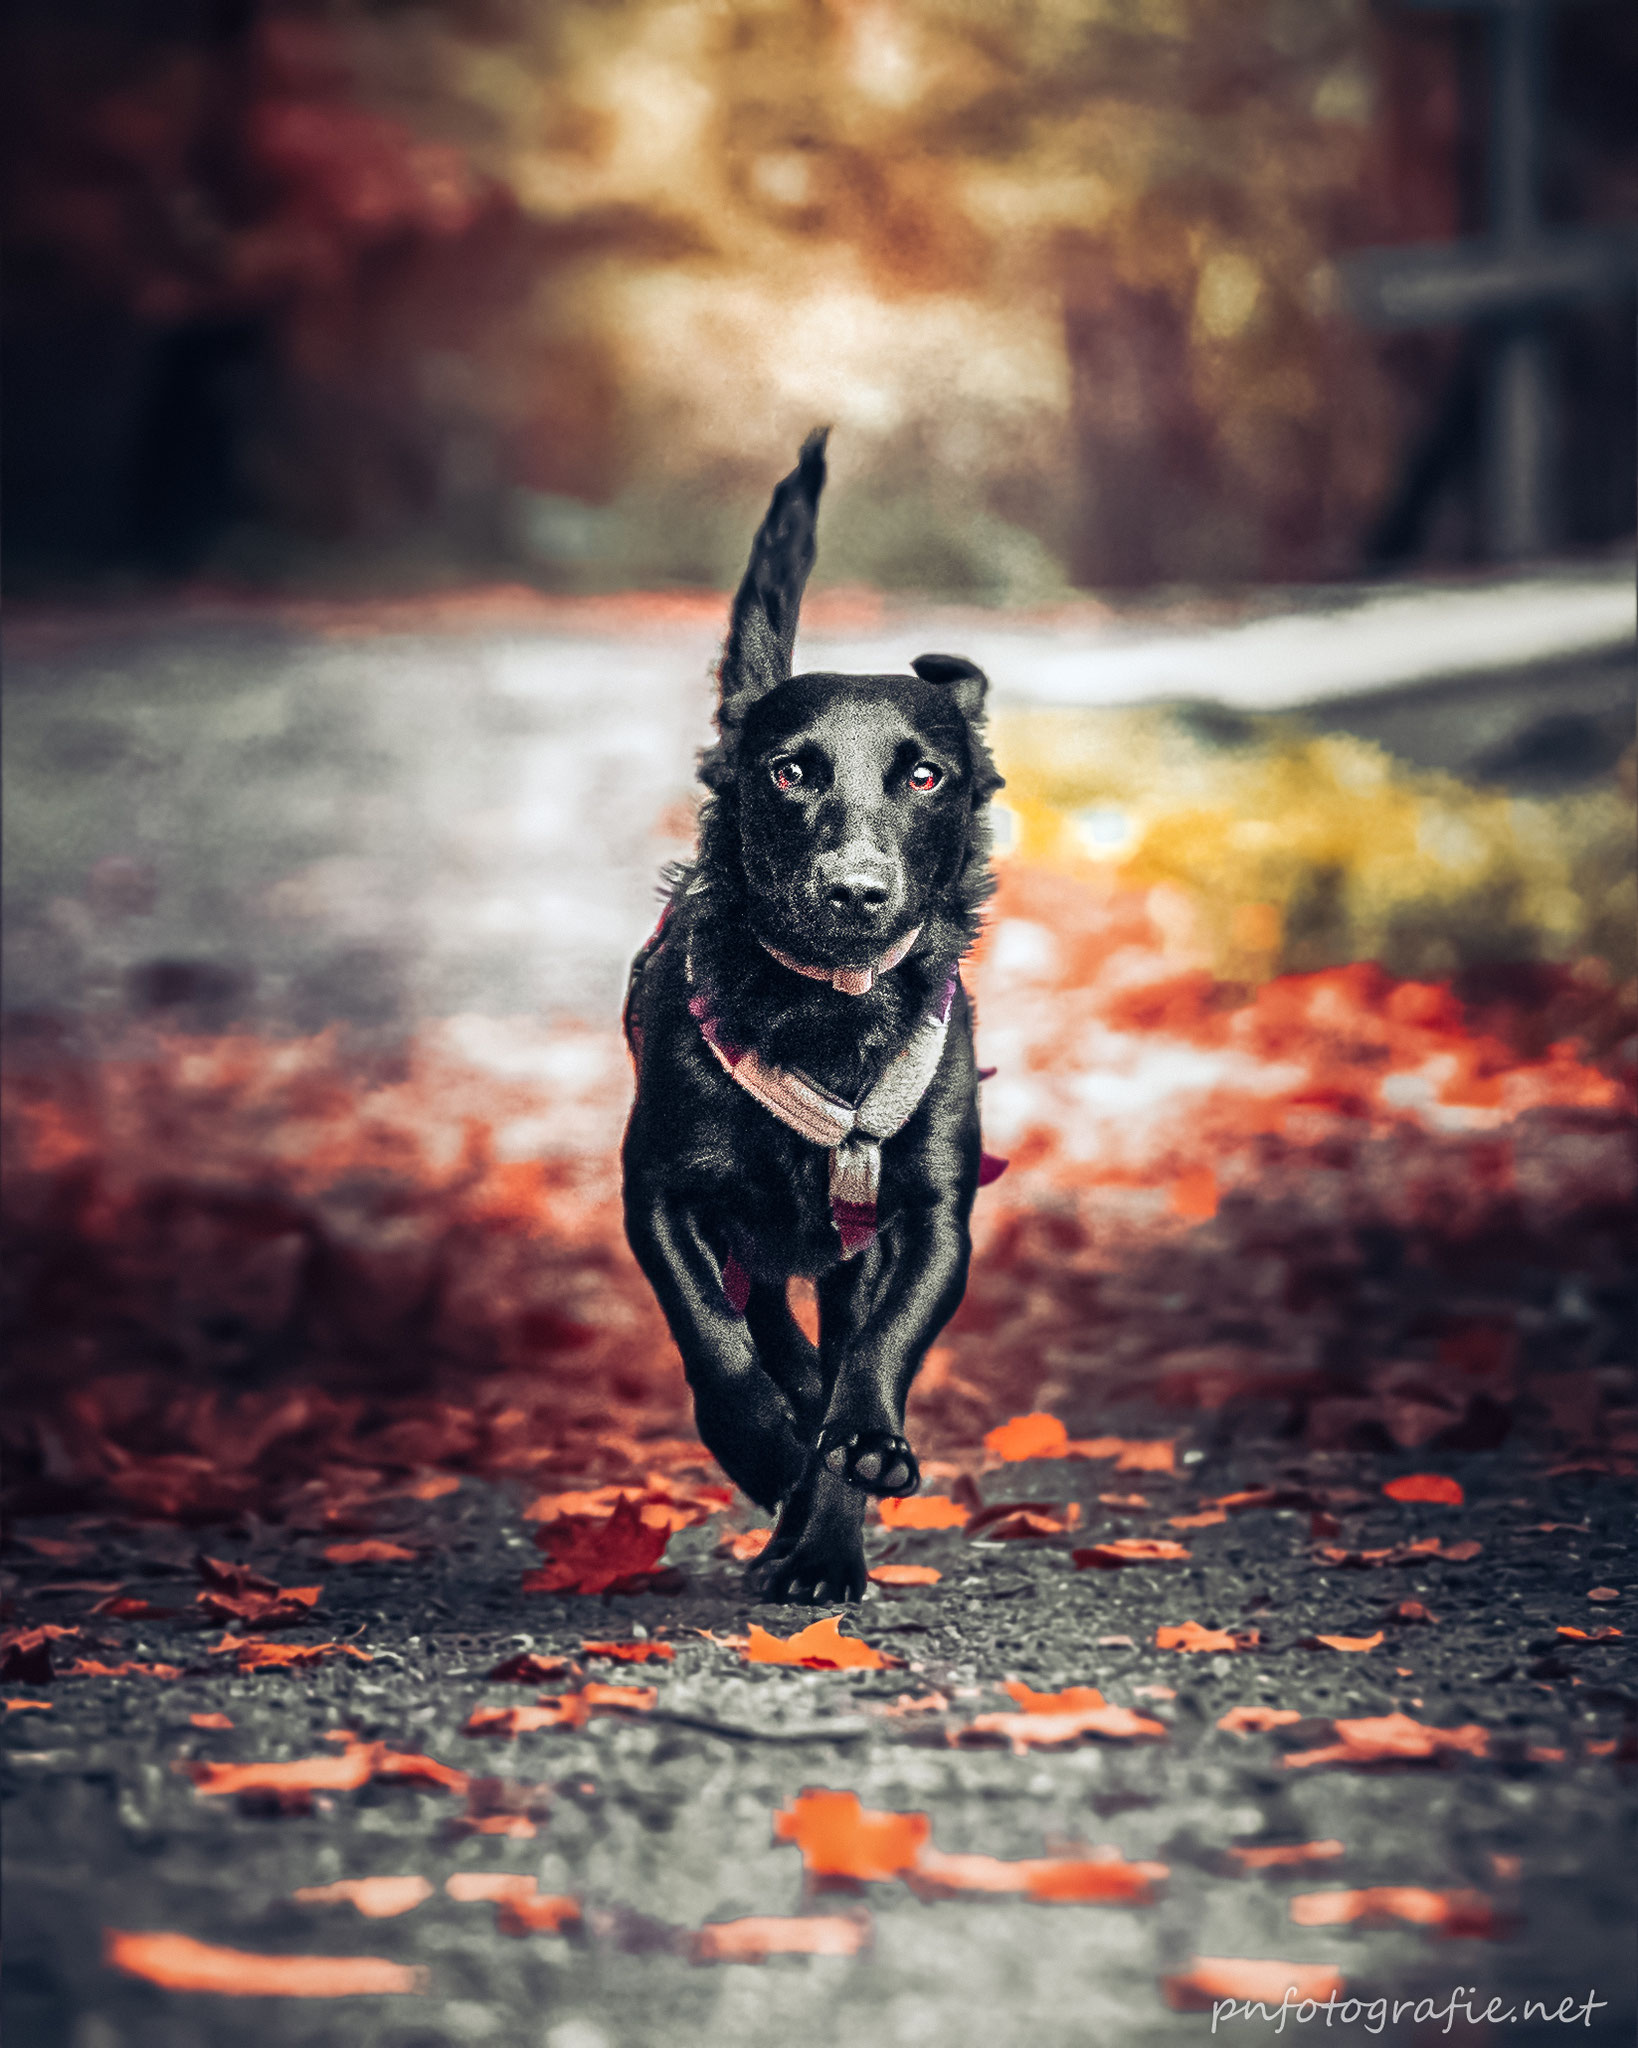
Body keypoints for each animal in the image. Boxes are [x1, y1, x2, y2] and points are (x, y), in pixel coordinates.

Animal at [622, 432, 999, 1605]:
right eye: (791, 772)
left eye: (925, 776)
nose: (856, 890)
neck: (825, 1012)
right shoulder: (662, 1191)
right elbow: (713, 1339)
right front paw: (761, 1448)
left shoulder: (927, 1215)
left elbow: (874, 1359)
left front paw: (850, 1483)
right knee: (769, 1338)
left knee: (828, 1358)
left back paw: (818, 1536)